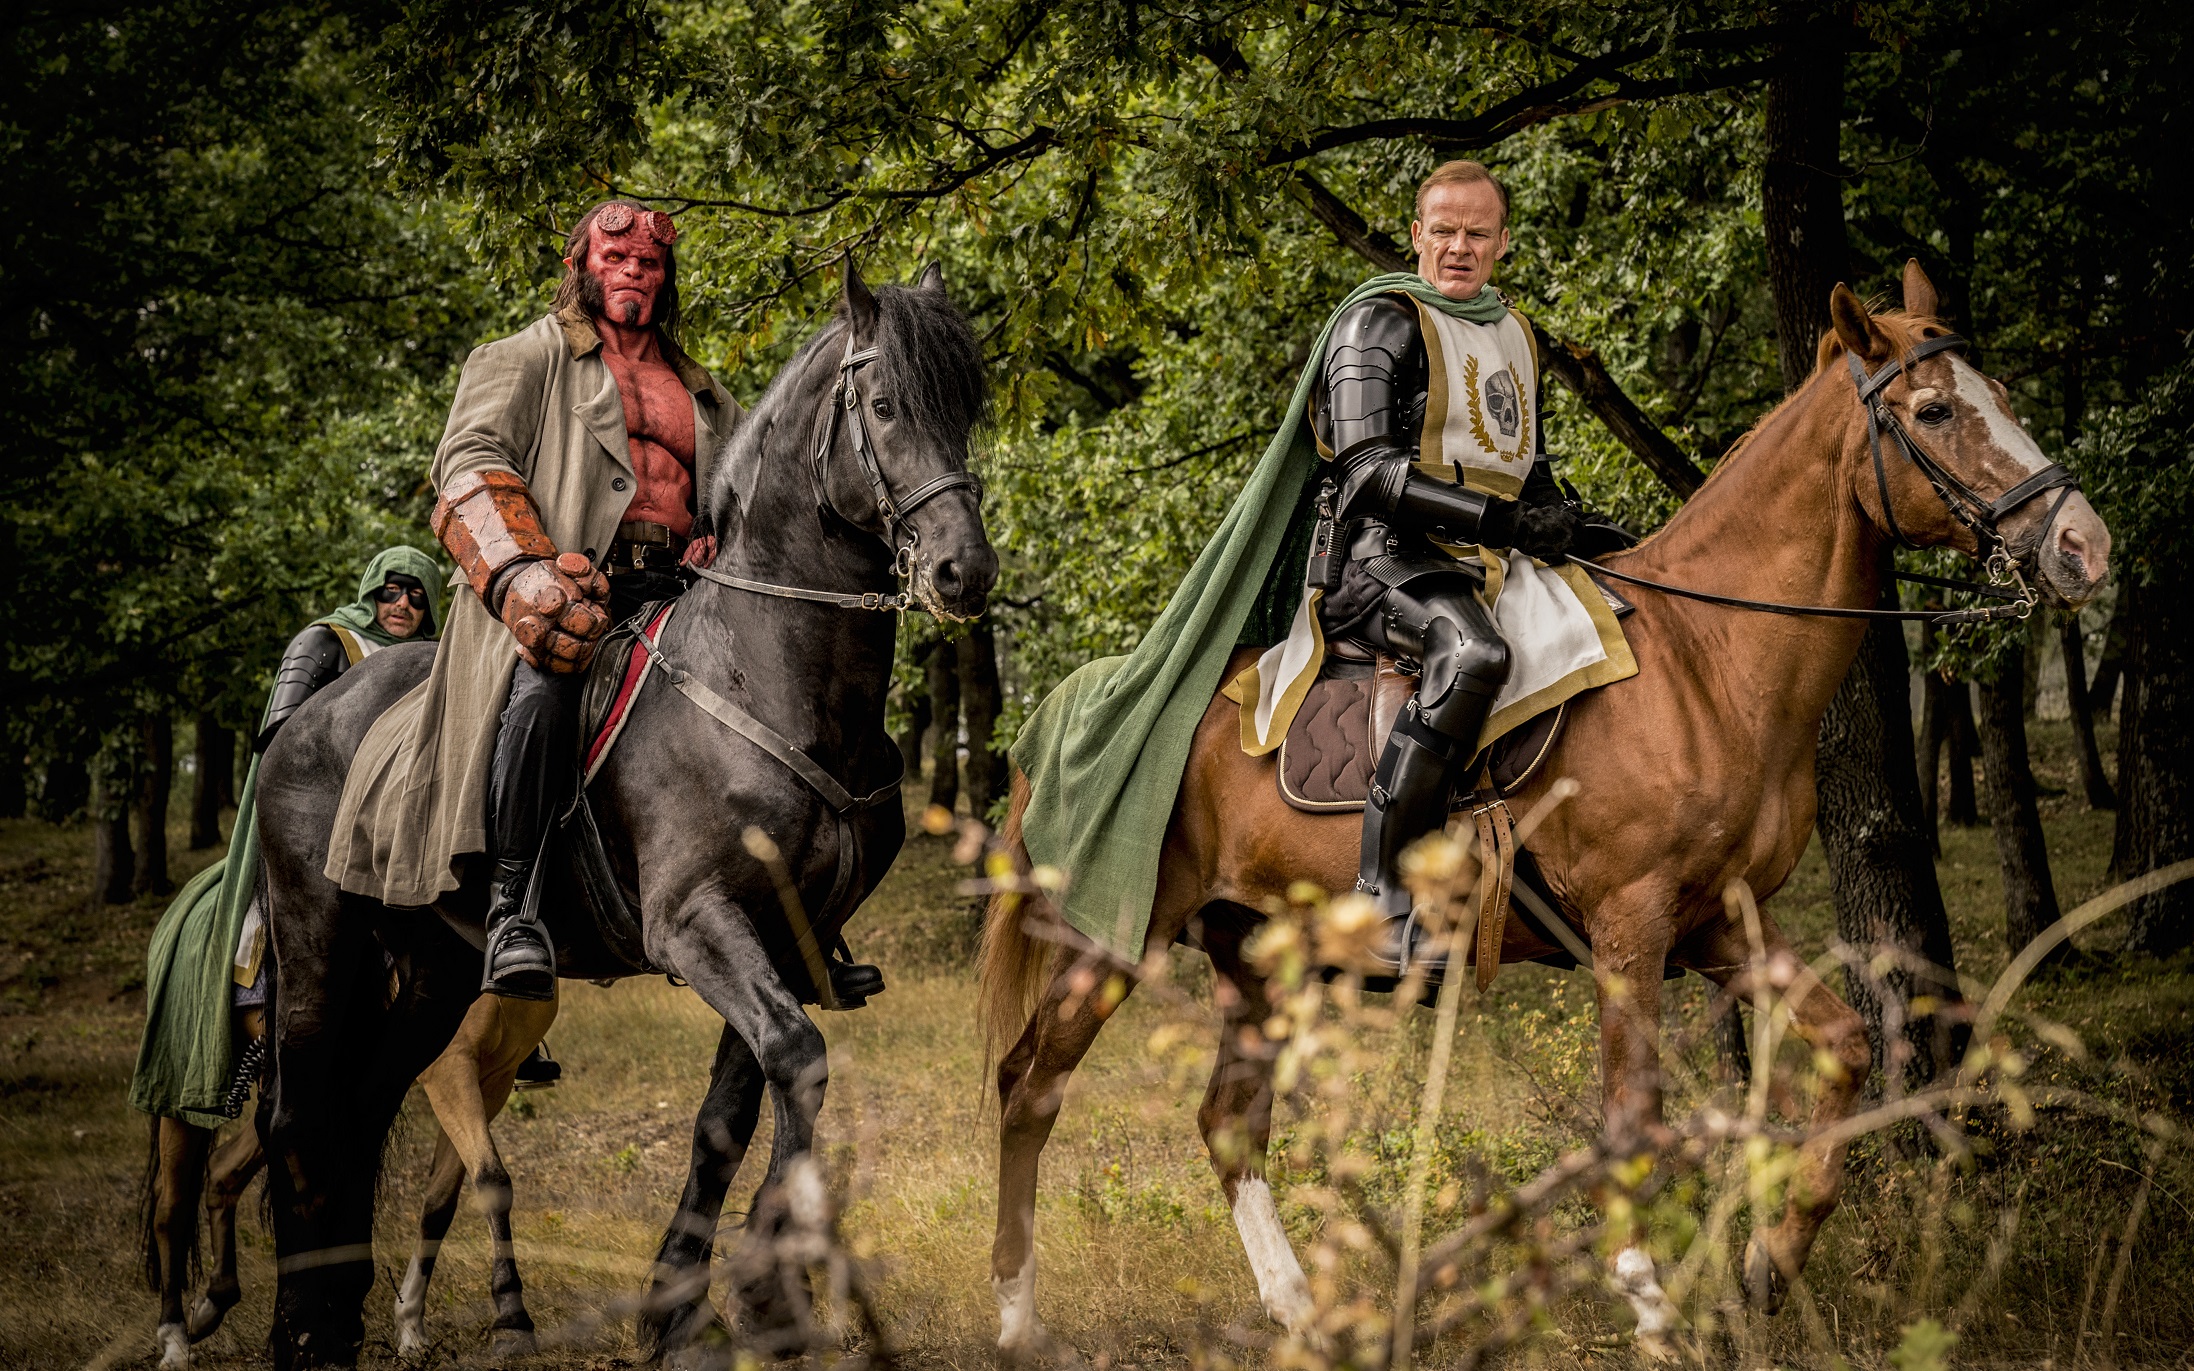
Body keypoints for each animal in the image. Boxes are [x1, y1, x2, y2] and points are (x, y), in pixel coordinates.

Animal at [249, 262, 996, 1360]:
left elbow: (740, 1107)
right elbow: (797, 1060)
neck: (765, 672)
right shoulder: (695, 921)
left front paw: (685, 1305)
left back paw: (337, 1315)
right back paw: (301, 1326)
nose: (963, 572)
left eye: (968, 406)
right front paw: (766, 1291)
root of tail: (308, 716)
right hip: (317, 946)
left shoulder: (788, 935)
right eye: (890, 405)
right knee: (301, 1115)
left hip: (431, 970)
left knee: (364, 1107)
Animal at [978, 264, 2106, 1351]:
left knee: (1227, 1121)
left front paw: (1764, 1266)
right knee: (1030, 1085)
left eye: (2002, 397)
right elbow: (1632, 1116)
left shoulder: (1721, 919)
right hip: (1115, 939)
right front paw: (1649, 1302)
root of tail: (1087, 699)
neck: (1710, 661)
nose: (2082, 547)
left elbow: (1844, 1051)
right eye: (1933, 411)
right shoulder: (1629, 924)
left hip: (1252, 951)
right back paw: (1018, 1314)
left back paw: (1300, 1309)